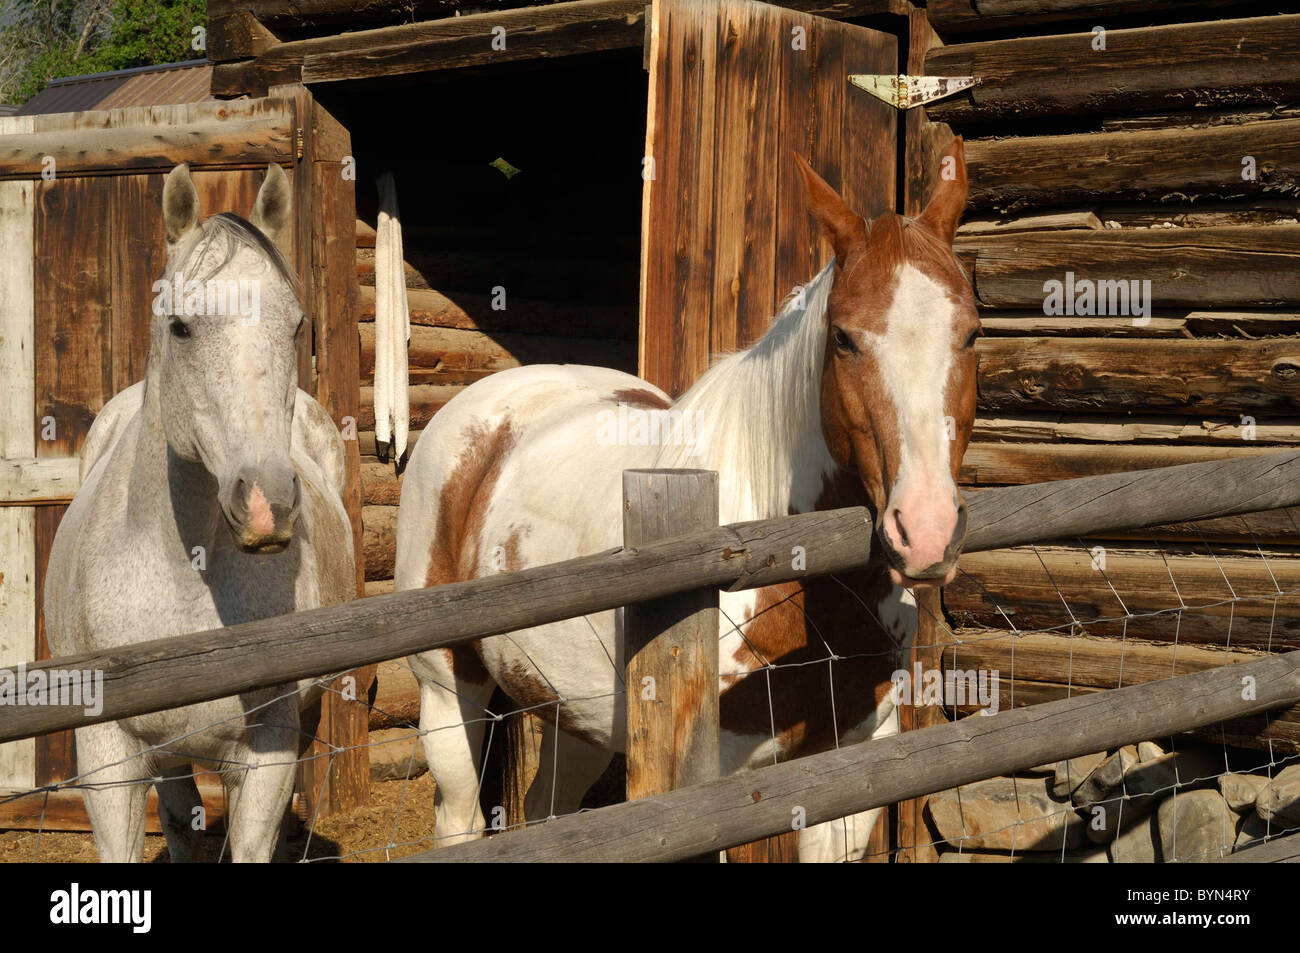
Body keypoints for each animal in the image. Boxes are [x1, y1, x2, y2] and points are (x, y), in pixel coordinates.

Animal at [43, 163, 355, 863]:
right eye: (181, 326)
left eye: (296, 325)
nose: (267, 503)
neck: (183, 577)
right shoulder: (109, 759)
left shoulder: (266, 756)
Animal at [393, 137, 977, 861]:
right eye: (844, 337)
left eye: (972, 333)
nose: (926, 530)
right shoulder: (706, 783)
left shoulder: (853, 758)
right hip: (448, 691)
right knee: (460, 819)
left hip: (573, 712)